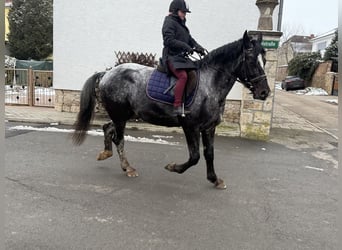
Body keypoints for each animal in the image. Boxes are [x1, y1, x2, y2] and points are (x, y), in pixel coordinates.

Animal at [72, 30, 270, 188]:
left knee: (108, 128)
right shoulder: (190, 126)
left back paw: (105, 153)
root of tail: (107, 73)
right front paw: (173, 167)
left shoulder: (209, 128)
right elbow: (195, 156)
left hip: (123, 115)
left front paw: (214, 179)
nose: (264, 92)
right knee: (118, 139)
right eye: (251, 60)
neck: (210, 84)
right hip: (120, 116)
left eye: (265, 60)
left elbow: (209, 154)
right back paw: (127, 168)